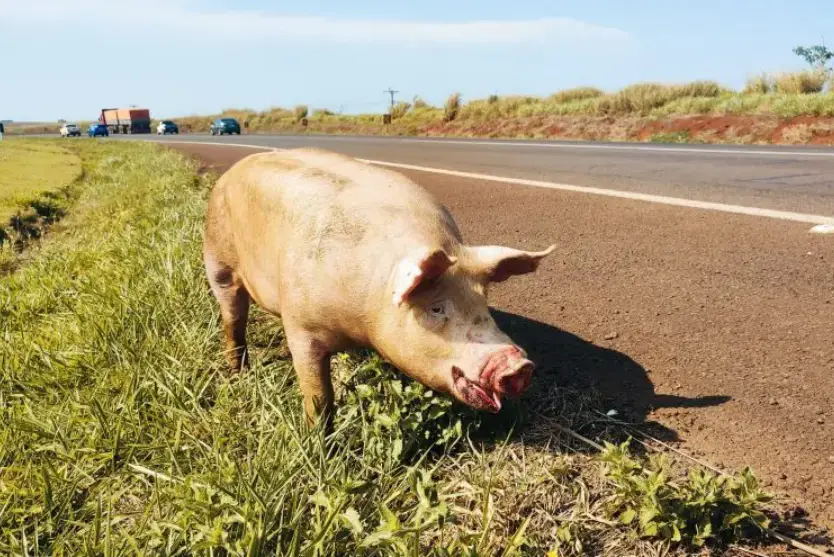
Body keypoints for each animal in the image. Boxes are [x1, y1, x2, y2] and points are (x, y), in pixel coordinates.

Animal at [202, 147, 555, 425]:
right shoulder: (301, 324)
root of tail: (233, 170)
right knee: (233, 317)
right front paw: (319, 438)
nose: (518, 365)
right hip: (217, 260)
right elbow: (318, 393)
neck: (364, 317)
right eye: (436, 308)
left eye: (485, 303)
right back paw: (237, 372)